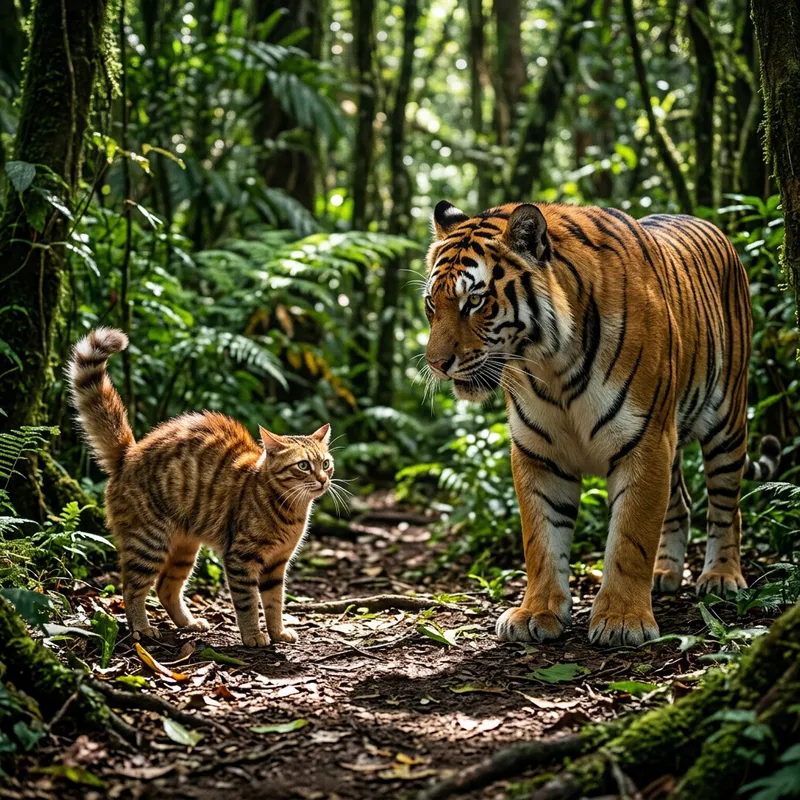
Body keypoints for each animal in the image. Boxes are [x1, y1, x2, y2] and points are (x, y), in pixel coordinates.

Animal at [422, 200, 781, 647]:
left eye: (474, 301)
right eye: (431, 305)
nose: (435, 363)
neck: (550, 365)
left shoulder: (644, 441)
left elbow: (630, 537)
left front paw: (622, 620)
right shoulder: (538, 453)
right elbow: (541, 540)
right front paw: (536, 613)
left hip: (727, 423)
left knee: (727, 506)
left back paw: (721, 576)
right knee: (680, 502)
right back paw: (665, 573)